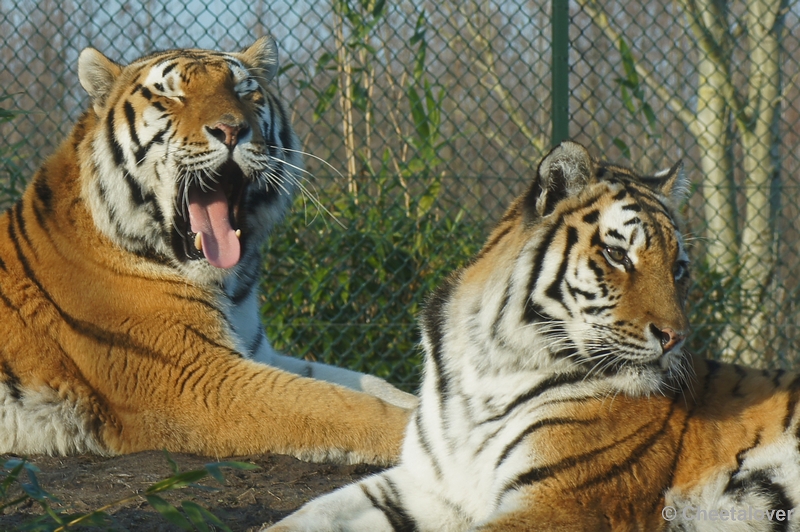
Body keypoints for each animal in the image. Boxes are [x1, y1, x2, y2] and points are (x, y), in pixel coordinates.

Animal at [0, 36, 412, 462]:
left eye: (245, 90)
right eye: (170, 95)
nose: (231, 130)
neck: (228, 285)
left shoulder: (255, 353)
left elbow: (374, 385)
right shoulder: (197, 378)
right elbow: (346, 405)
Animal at [268, 139, 800, 528]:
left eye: (679, 269)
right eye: (618, 255)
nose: (676, 338)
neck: (487, 366)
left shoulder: (563, 501)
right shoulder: (428, 486)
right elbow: (308, 513)